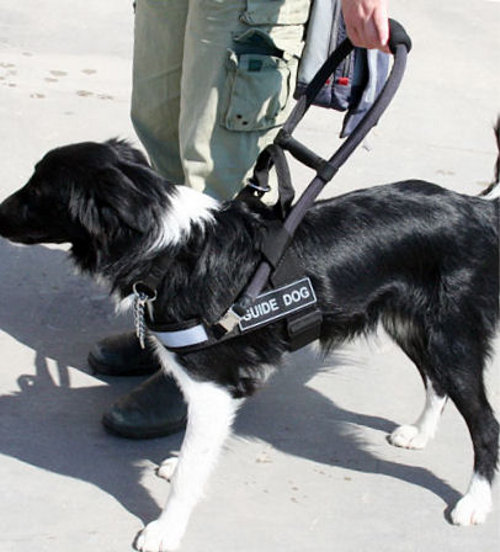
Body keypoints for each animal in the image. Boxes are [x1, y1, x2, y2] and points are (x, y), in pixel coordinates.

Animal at [0, 123, 498, 548]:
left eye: (37, 191)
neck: (170, 249)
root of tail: (473, 207)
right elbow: (196, 452)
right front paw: (180, 463)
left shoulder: (213, 386)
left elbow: (191, 471)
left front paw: (166, 528)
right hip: (412, 325)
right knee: (437, 383)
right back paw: (420, 433)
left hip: (450, 336)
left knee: (485, 422)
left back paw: (474, 501)